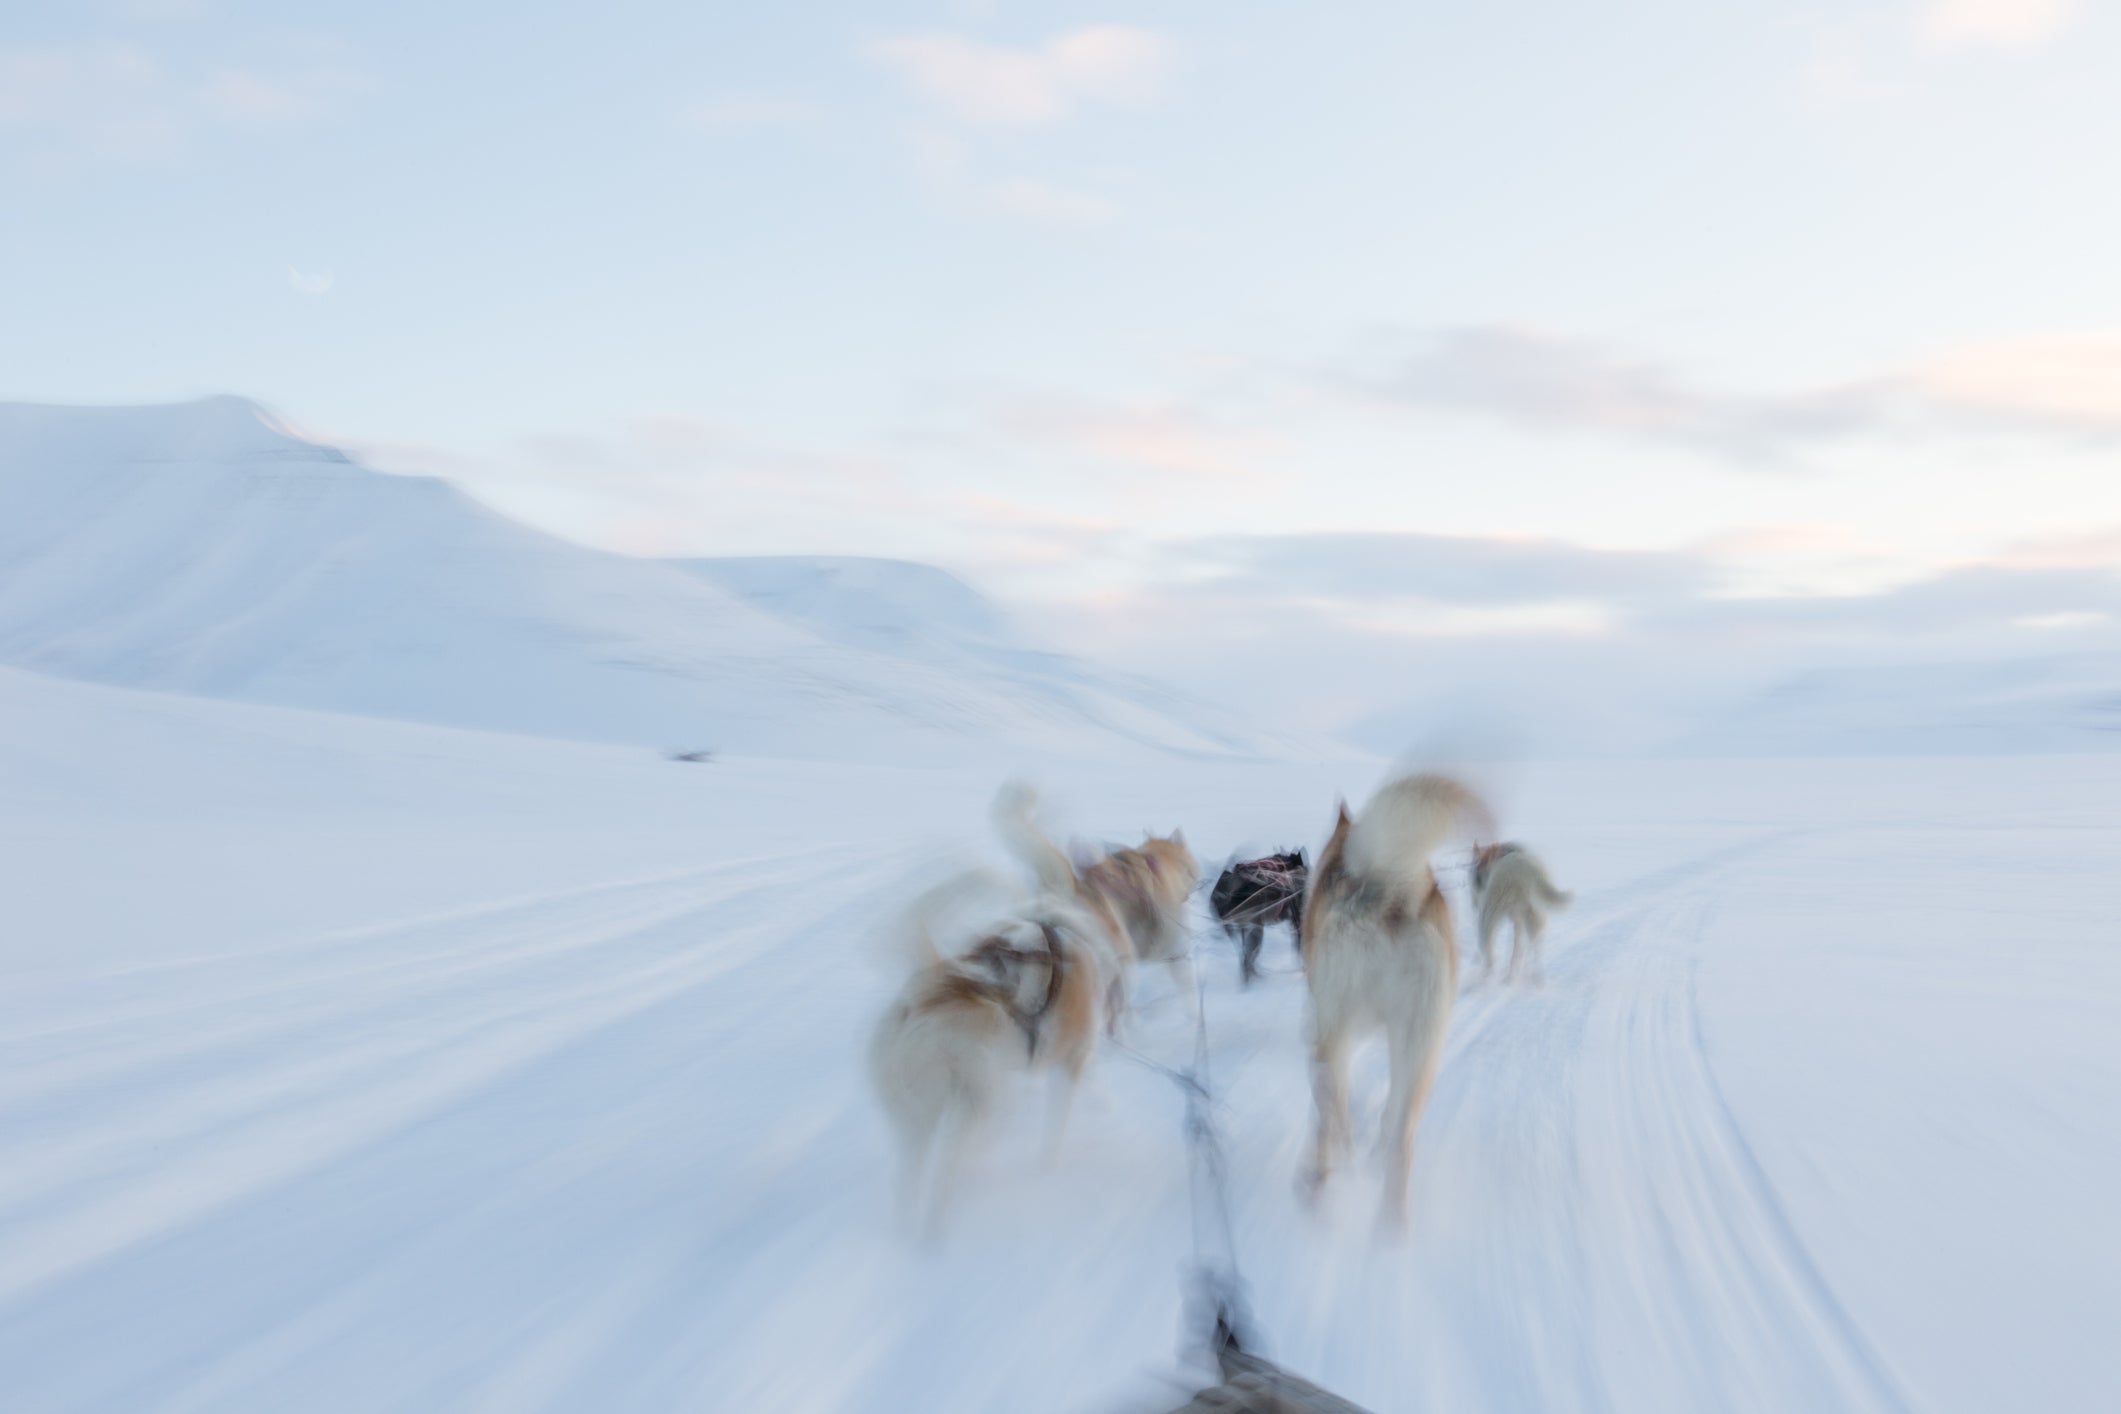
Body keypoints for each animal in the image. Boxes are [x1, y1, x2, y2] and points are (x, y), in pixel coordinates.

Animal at [869, 877, 1119, 1246]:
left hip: (915, 1113)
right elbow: (1061, 1121)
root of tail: (928, 994)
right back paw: (939, 1226)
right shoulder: (1073, 1054)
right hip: (974, 1098)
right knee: (949, 1170)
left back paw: (909, 1226)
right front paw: (1050, 1165)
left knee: (909, 1175)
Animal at [1298, 775, 1501, 1229]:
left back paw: (1320, 1189)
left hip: (1331, 1036)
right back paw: (1390, 1227)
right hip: (1419, 1047)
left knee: (1330, 1116)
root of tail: (1389, 888)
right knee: (1401, 1137)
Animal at [1476, 839, 1578, 983]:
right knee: (1533, 945)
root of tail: (1530, 868)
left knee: (1500, 943)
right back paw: (1534, 976)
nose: (1477, 880)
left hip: (1501, 910)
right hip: (1534, 914)